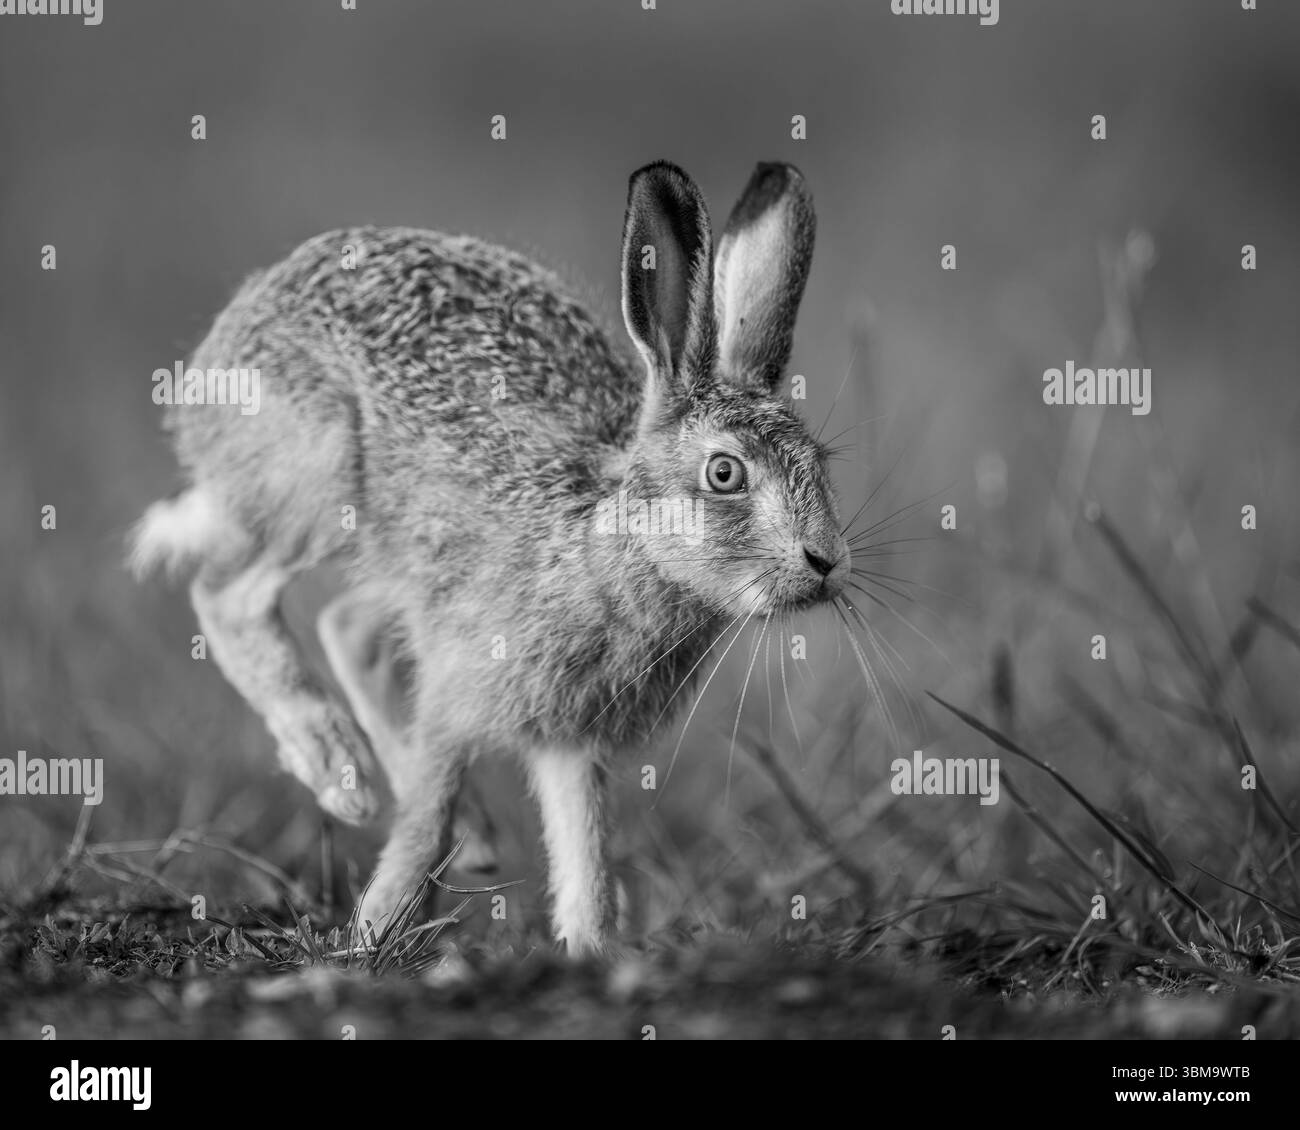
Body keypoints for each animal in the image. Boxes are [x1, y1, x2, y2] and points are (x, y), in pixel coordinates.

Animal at [130, 160, 850, 954]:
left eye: (818, 466)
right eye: (725, 474)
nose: (826, 561)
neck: (612, 548)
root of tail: (223, 345)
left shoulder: (570, 738)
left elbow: (585, 854)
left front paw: (591, 951)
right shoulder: (459, 692)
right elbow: (426, 823)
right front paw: (368, 938)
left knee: (347, 624)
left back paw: (463, 828)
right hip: (316, 482)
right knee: (229, 593)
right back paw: (338, 769)